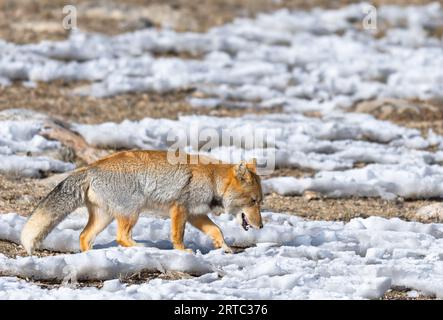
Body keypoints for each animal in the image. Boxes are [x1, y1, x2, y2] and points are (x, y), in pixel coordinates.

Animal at [20, 150, 264, 255]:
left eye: (260, 202)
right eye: (253, 201)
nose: (261, 226)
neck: (212, 180)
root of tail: (90, 167)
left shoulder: (196, 214)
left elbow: (216, 231)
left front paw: (225, 248)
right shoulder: (180, 209)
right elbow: (178, 236)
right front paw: (183, 252)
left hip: (104, 218)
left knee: (84, 236)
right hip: (132, 213)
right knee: (121, 237)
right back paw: (144, 248)